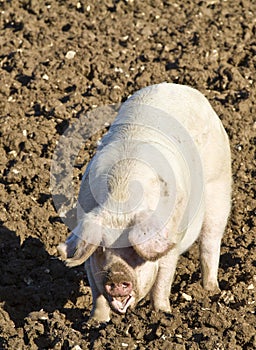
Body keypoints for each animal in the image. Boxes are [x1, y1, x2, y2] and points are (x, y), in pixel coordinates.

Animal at [58, 82, 232, 322]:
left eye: (133, 250)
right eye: (101, 248)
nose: (117, 276)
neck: (121, 203)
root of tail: (178, 87)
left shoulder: (170, 240)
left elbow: (162, 282)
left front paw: (163, 314)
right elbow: (96, 292)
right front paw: (96, 322)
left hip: (220, 186)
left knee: (210, 242)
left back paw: (211, 290)